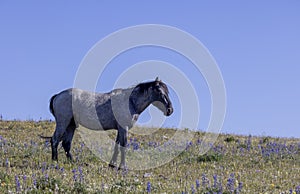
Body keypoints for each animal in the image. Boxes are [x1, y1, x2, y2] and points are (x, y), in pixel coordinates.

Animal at [44, 77, 173, 168]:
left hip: (71, 125)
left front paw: (112, 164)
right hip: (63, 123)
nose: (170, 110)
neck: (130, 101)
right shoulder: (123, 128)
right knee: (55, 140)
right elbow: (123, 146)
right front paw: (122, 166)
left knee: (66, 144)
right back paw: (55, 162)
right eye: (160, 91)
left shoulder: (120, 129)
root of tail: (58, 95)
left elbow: (117, 146)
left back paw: (73, 162)